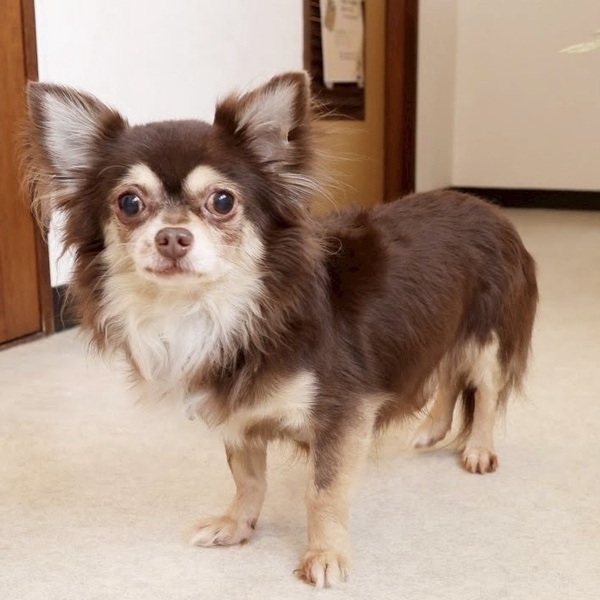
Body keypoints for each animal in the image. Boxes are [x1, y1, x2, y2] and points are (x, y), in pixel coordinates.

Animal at [24, 71, 538, 588]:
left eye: (223, 201)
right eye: (129, 203)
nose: (171, 237)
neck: (213, 310)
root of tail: (486, 206)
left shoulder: (341, 414)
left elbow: (322, 491)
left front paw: (326, 554)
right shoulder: (236, 413)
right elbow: (247, 478)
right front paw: (236, 526)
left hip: (488, 337)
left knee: (484, 391)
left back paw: (478, 449)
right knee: (449, 375)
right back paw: (432, 429)